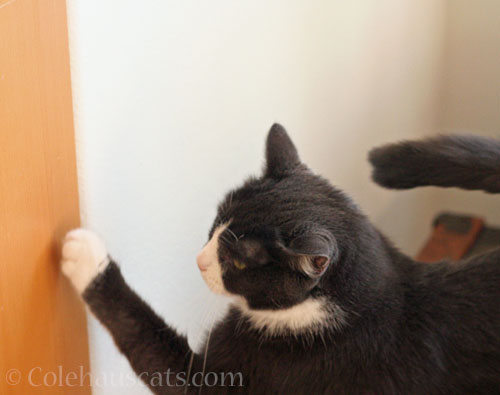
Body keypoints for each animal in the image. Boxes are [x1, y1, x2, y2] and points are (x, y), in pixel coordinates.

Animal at [61, 124, 500, 395]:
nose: (199, 261)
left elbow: (143, 336)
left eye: (238, 262)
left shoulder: (239, 378)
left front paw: (85, 254)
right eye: (216, 224)